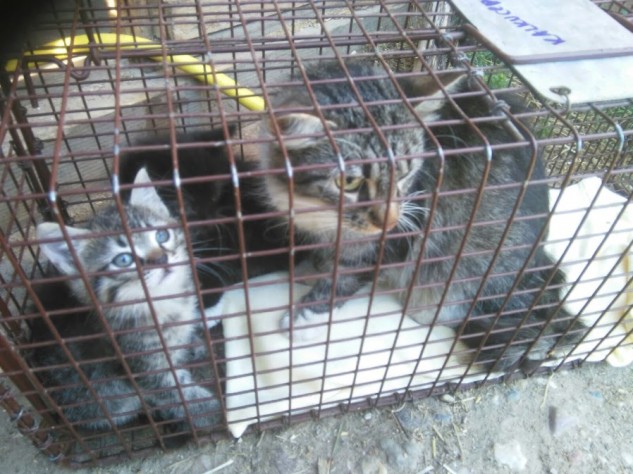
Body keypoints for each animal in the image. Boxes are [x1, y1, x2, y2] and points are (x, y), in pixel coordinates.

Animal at [28, 168, 220, 443]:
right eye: (123, 260)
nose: (160, 259)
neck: (164, 302)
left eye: (161, 235)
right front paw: (214, 410)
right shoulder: (144, 366)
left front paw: (191, 345)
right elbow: (175, 393)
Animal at [260, 59, 580, 370]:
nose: (389, 219)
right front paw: (310, 269)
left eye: (405, 173)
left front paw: (307, 315)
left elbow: (348, 274)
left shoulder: (401, 232)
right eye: (349, 182)